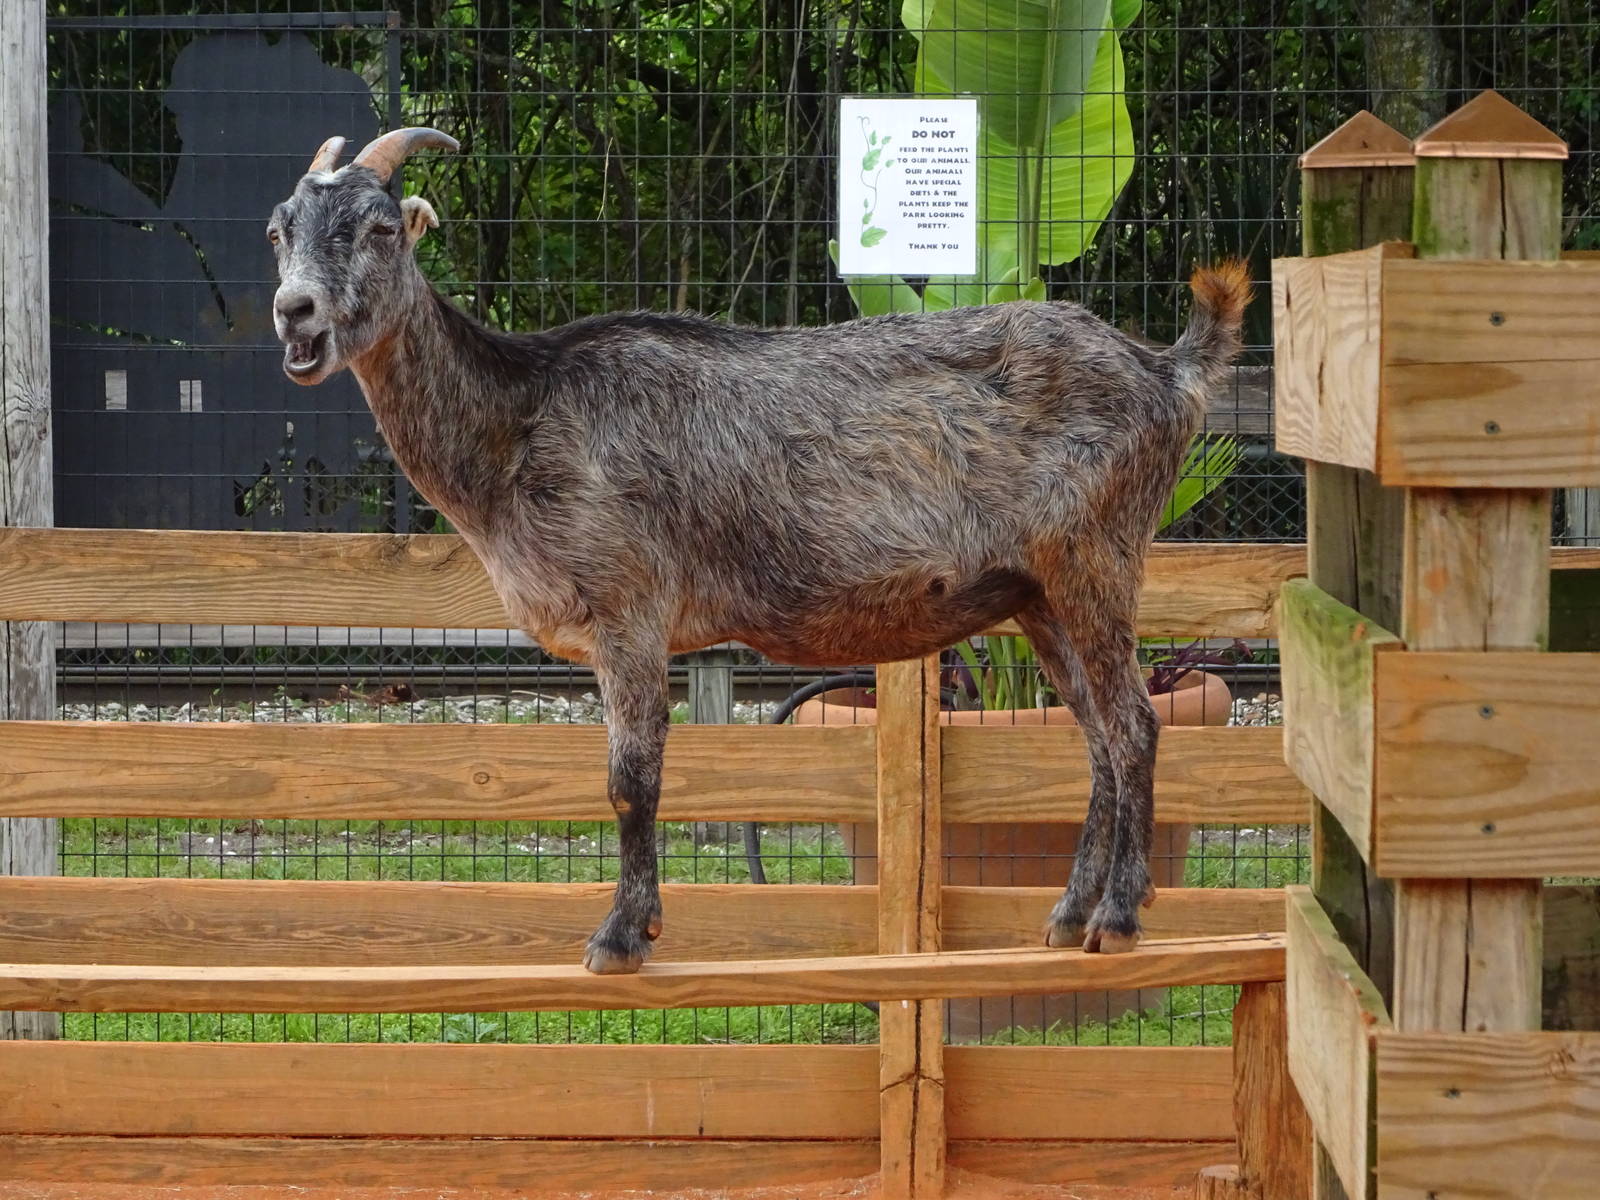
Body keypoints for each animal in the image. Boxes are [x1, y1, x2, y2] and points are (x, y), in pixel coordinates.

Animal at [269, 129, 1249, 974]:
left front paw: (621, 936)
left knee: (1136, 726)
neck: (522, 417)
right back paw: (1069, 915)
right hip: (1037, 593)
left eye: (381, 228)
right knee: (1096, 738)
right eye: (281, 231)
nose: (294, 311)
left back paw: (1119, 917)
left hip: (1096, 558)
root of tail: (1166, 372)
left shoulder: (629, 608)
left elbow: (631, 780)